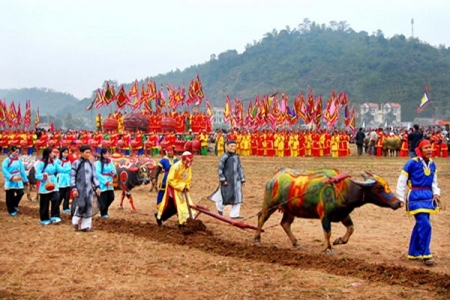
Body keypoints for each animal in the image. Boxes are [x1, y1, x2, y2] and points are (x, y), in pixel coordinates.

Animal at [253, 168, 404, 254]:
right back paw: (256, 240)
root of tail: (274, 177)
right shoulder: (325, 216)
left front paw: (339, 241)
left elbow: (351, 229)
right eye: (379, 187)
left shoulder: (344, 214)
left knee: (285, 224)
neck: (344, 189)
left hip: (290, 210)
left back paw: (297, 243)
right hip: (269, 205)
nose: (398, 202)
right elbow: (327, 233)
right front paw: (328, 249)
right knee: (261, 217)